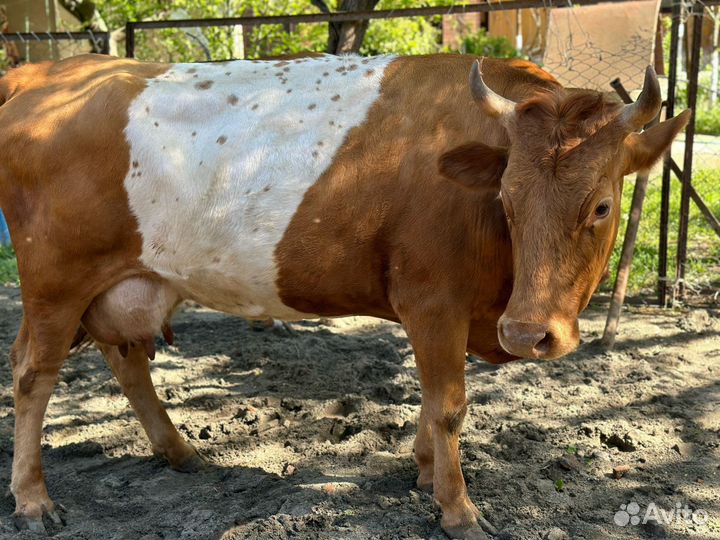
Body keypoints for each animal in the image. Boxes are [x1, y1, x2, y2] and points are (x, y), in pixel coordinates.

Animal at [0, 53, 688, 539]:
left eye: (601, 205)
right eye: (508, 200)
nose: (525, 334)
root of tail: (47, 72)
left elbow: (431, 401)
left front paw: (423, 471)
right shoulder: (433, 302)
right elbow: (449, 405)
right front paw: (458, 510)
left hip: (128, 281)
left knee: (126, 361)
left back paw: (181, 452)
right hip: (54, 284)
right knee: (32, 376)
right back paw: (33, 500)